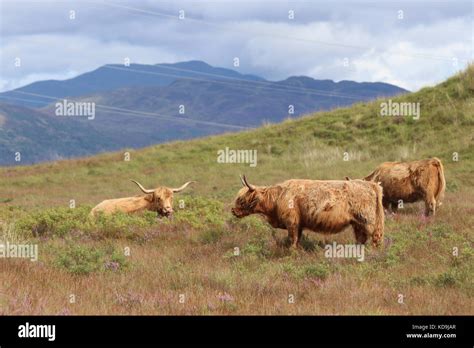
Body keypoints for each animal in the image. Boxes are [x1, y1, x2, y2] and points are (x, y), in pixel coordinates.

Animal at [231, 177, 384, 247]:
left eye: (242, 200)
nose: (233, 210)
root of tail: (370, 184)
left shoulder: (291, 222)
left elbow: (292, 239)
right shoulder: (298, 225)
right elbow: (297, 239)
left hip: (368, 220)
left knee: (375, 238)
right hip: (357, 223)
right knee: (361, 238)